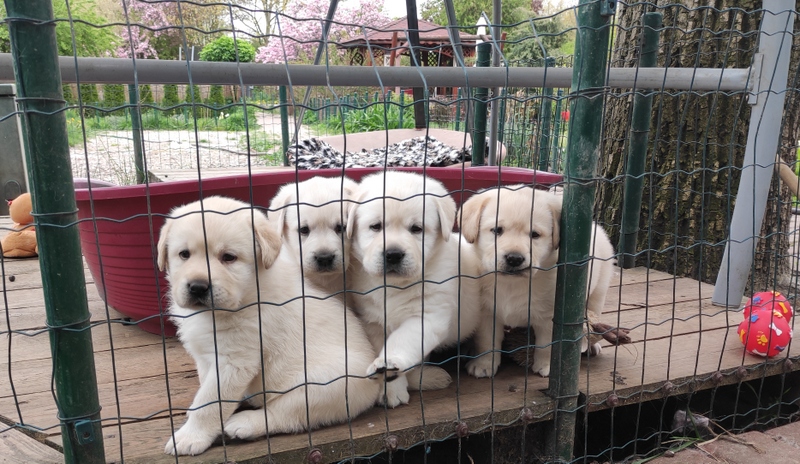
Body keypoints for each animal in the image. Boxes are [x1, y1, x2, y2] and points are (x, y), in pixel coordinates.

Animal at [160, 194, 382, 454]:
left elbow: (210, 402)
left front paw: (190, 437)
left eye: (229, 257)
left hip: (325, 386)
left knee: (286, 415)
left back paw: (245, 423)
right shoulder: (206, 356)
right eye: (184, 254)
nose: (197, 287)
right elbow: (205, 386)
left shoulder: (235, 361)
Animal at [346, 170, 482, 406]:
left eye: (416, 229)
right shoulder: (373, 321)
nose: (393, 254)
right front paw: (391, 387)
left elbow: (402, 341)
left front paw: (389, 365)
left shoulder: (426, 316)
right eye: (376, 226)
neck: (394, 287)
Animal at [460, 185, 616, 376]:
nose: (514, 259)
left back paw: (593, 346)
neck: (512, 284)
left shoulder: (549, 316)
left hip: (598, 291)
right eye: (497, 230)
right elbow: (486, 341)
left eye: (534, 235)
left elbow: (546, 345)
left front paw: (547, 365)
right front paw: (484, 364)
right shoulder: (487, 312)